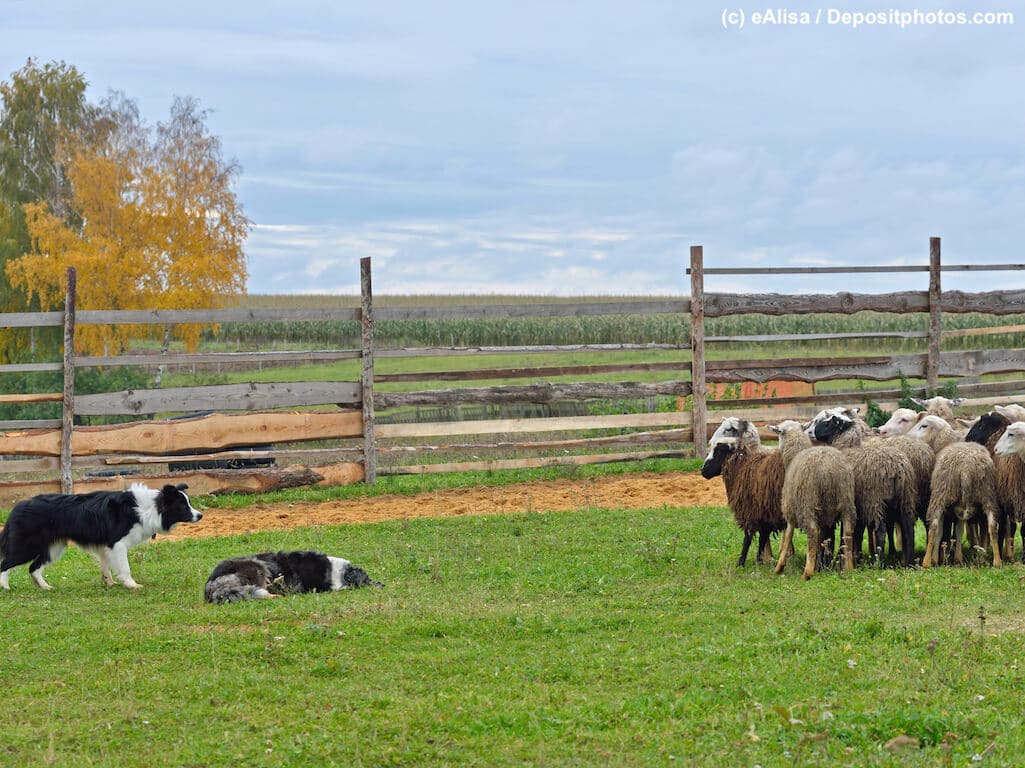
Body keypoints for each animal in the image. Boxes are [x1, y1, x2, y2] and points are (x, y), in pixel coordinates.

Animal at [700, 417, 786, 567]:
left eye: (728, 429)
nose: (703, 471)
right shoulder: (765, 512)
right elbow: (763, 537)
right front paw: (761, 560)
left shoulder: (750, 509)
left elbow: (748, 537)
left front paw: (742, 562)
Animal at [769, 420, 855, 580]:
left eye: (779, 433)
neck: (794, 454)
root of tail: (828, 469)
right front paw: (820, 563)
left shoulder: (790, 509)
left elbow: (787, 536)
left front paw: (779, 566)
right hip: (846, 500)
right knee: (847, 532)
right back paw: (848, 568)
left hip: (807, 502)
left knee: (812, 532)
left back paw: (807, 573)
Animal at [809, 408, 919, 567]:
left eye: (831, 421)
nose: (812, 431)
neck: (846, 446)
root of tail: (897, 468)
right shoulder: (858, 507)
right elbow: (857, 533)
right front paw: (855, 557)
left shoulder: (848, 503)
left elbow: (845, 532)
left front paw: (843, 557)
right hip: (906, 498)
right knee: (909, 529)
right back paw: (909, 563)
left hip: (875, 500)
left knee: (881, 531)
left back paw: (879, 563)